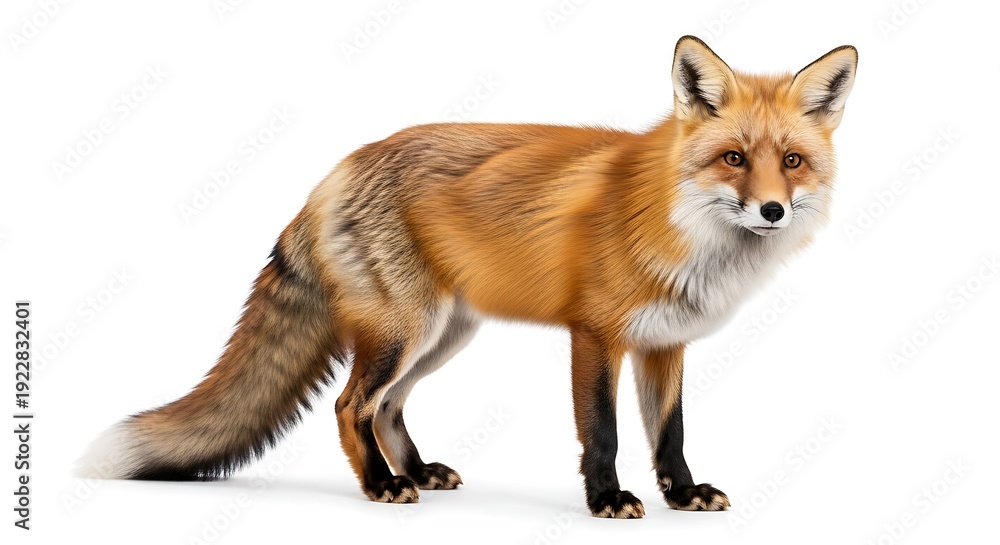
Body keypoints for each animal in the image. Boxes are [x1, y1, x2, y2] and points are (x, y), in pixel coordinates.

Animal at [80, 36, 857, 518]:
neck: (679, 227)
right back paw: (381, 485)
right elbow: (603, 433)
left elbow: (670, 434)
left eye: (791, 162)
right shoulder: (595, 335)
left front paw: (683, 496)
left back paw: (415, 471)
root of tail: (338, 169)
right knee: (350, 406)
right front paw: (606, 501)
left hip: (443, 336)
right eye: (733, 158)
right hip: (405, 330)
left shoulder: (666, 344)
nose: (772, 209)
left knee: (386, 407)